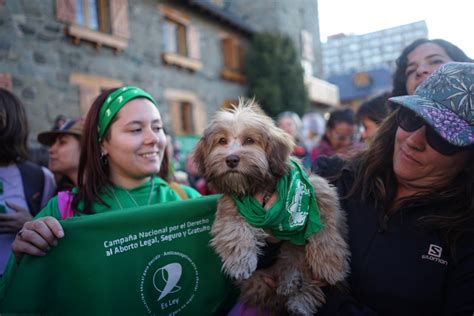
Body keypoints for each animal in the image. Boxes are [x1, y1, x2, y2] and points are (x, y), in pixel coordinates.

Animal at [193, 100, 348, 314]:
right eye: (222, 141)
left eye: (249, 140)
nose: (231, 159)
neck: (259, 187)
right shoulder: (230, 205)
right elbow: (233, 229)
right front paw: (239, 262)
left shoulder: (318, 189)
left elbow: (326, 228)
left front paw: (331, 265)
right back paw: (290, 286)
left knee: (306, 278)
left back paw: (299, 298)